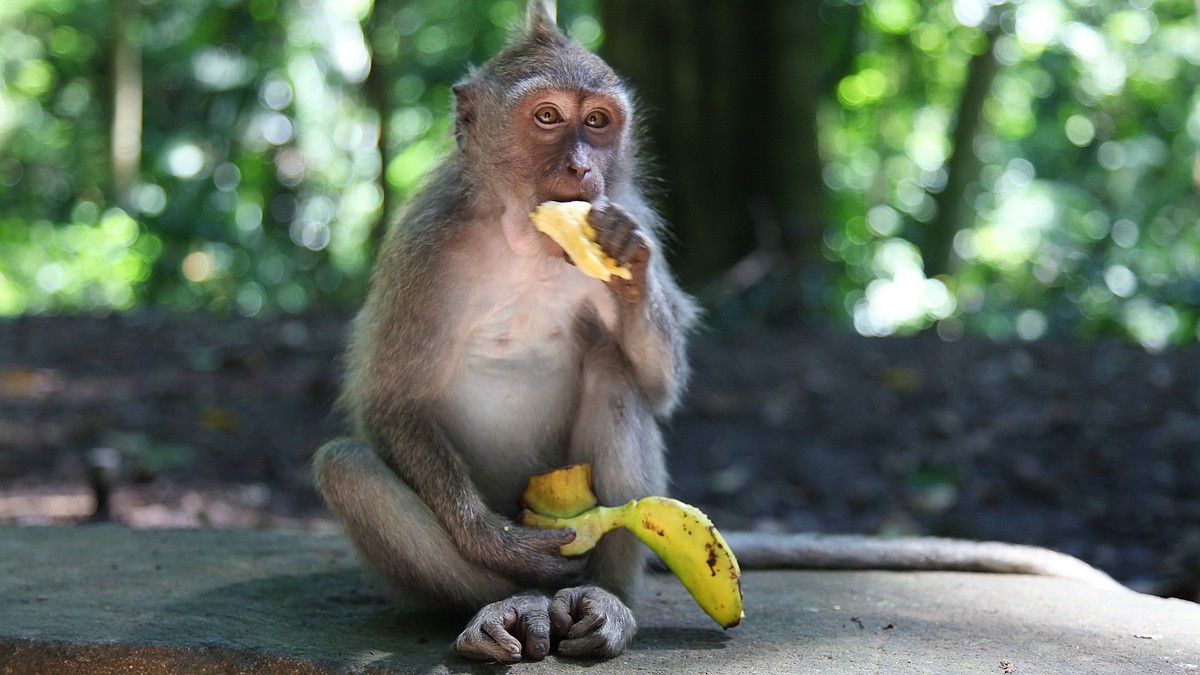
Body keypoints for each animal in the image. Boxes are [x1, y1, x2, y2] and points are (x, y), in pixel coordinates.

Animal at [314, 0, 1118, 662]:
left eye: (597, 123)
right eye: (546, 118)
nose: (581, 168)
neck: (524, 241)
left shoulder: (638, 210)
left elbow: (659, 384)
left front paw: (627, 265)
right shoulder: (423, 244)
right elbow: (391, 401)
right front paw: (500, 544)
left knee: (613, 374)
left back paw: (605, 600)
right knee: (347, 466)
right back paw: (507, 600)